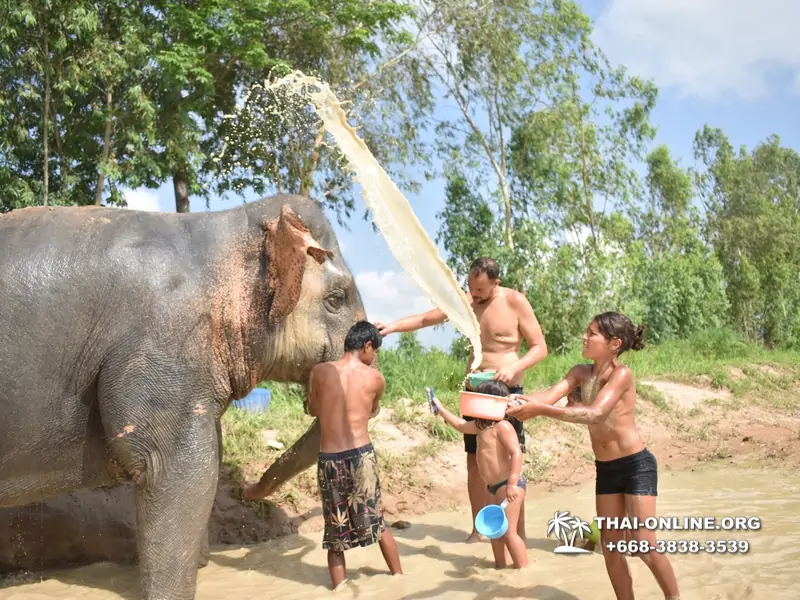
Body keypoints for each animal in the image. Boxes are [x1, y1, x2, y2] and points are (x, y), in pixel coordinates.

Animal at [0, 195, 368, 596]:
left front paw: (202, 562)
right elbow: (181, 468)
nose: (249, 490)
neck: (221, 227)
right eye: (337, 298)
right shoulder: (165, 345)